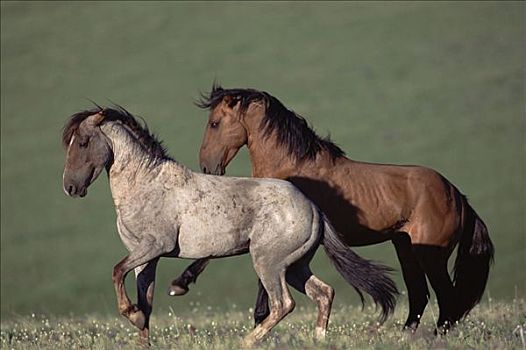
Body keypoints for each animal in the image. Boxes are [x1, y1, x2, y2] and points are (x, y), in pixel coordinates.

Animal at [62, 106, 398, 344]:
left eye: (83, 142)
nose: (70, 188)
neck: (146, 184)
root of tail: (313, 207)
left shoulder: (154, 246)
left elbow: (117, 271)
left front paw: (131, 315)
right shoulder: (147, 258)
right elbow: (145, 302)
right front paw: (139, 321)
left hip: (268, 263)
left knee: (282, 304)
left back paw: (246, 342)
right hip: (295, 266)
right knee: (324, 293)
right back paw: (318, 341)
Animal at [171, 85, 498, 334]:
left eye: (215, 123)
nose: (207, 167)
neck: (293, 168)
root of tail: (457, 196)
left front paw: (180, 284)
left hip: (431, 254)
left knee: (446, 297)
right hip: (406, 249)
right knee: (421, 295)